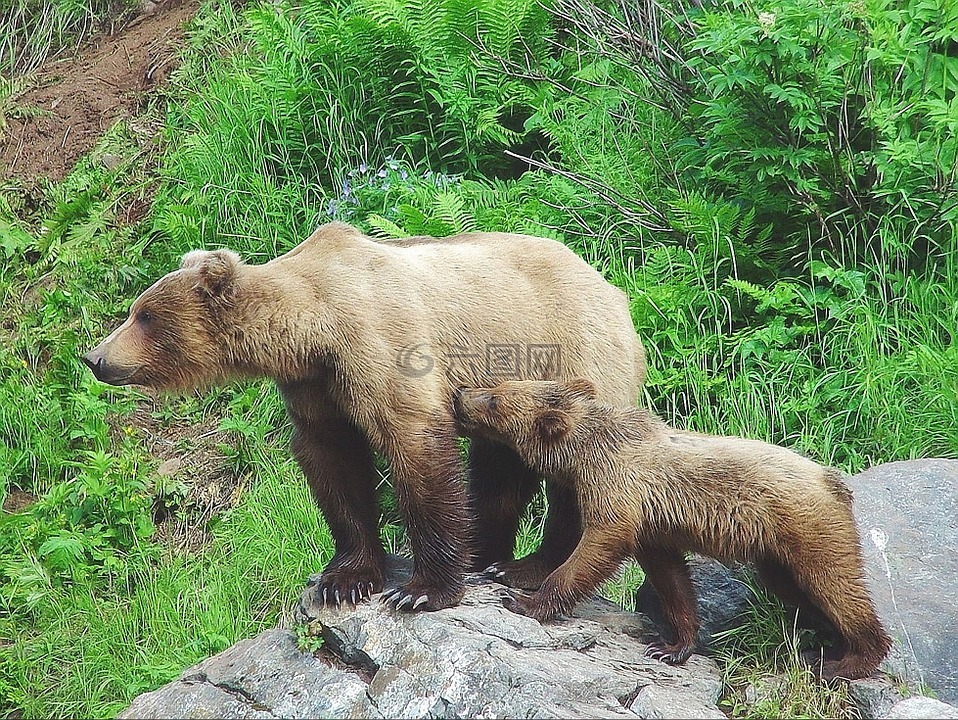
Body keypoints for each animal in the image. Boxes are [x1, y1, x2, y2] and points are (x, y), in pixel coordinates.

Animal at [83, 222, 646, 612]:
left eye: (144, 315)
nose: (94, 357)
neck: (311, 327)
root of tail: (614, 288)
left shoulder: (381, 346)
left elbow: (415, 444)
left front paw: (421, 590)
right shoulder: (315, 386)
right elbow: (334, 464)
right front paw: (344, 580)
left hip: (571, 357)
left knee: (574, 472)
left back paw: (527, 568)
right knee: (499, 468)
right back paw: (487, 554)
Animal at [452, 378, 892, 680]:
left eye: (494, 398)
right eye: (497, 386)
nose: (460, 394)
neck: (583, 454)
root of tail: (834, 480)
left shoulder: (617, 488)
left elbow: (598, 543)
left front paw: (523, 599)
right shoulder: (652, 524)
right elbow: (671, 577)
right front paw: (672, 645)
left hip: (808, 528)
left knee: (836, 586)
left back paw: (849, 660)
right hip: (776, 555)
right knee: (801, 592)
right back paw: (827, 648)